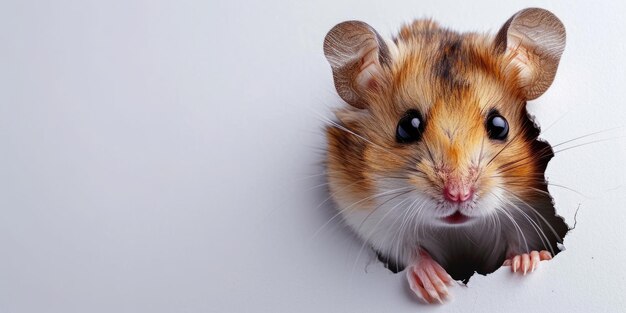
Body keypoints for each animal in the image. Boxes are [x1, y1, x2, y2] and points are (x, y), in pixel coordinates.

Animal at [322, 8, 564, 302]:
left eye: (500, 125)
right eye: (407, 126)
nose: (458, 195)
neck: (457, 230)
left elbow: (521, 242)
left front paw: (526, 263)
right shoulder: (370, 218)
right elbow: (409, 251)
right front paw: (437, 288)